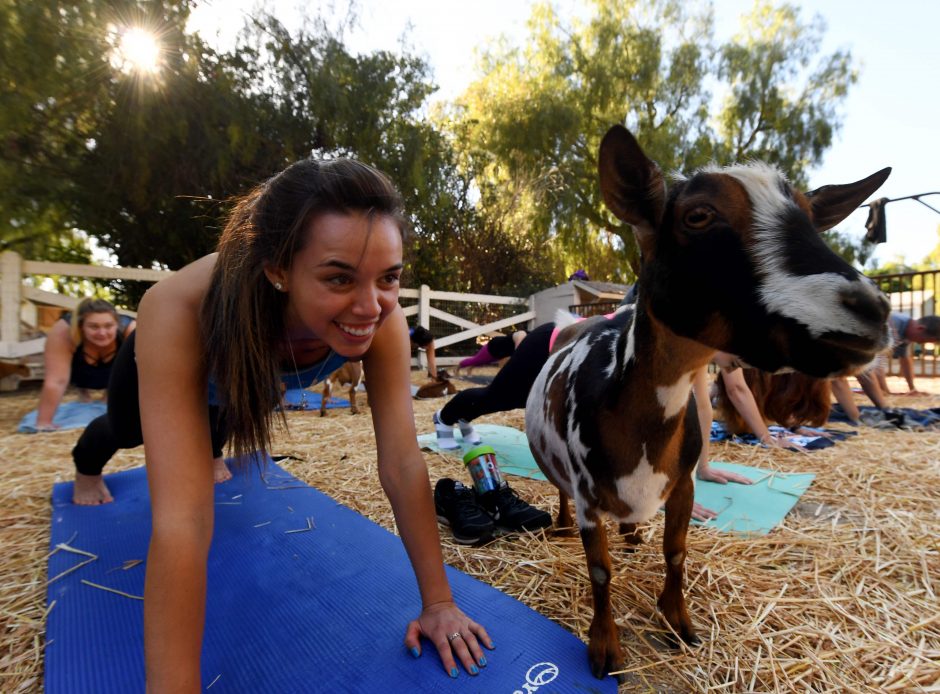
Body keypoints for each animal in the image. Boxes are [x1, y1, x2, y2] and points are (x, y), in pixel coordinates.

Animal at [524, 126, 892, 684]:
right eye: (698, 215)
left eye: (811, 215)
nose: (872, 310)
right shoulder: (588, 495)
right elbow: (600, 571)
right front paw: (605, 648)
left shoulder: (682, 485)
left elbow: (676, 552)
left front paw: (679, 623)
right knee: (561, 495)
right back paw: (566, 525)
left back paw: (631, 532)